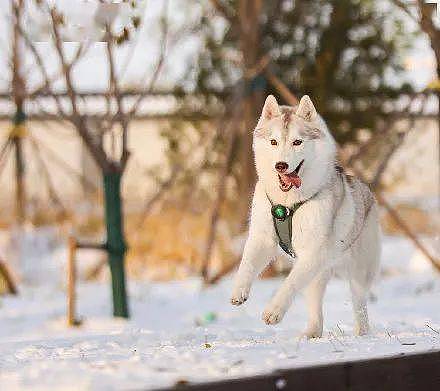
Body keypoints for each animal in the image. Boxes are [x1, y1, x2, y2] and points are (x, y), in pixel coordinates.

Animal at [232, 95, 380, 340]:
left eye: (297, 142)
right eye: (273, 142)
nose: (280, 165)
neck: (287, 204)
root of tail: (367, 192)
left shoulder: (313, 253)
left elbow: (289, 283)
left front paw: (273, 312)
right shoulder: (262, 238)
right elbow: (247, 263)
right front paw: (239, 291)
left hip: (358, 270)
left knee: (359, 303)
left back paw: (362, 333)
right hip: (317, 274)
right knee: (315, 304)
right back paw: (312, 332)